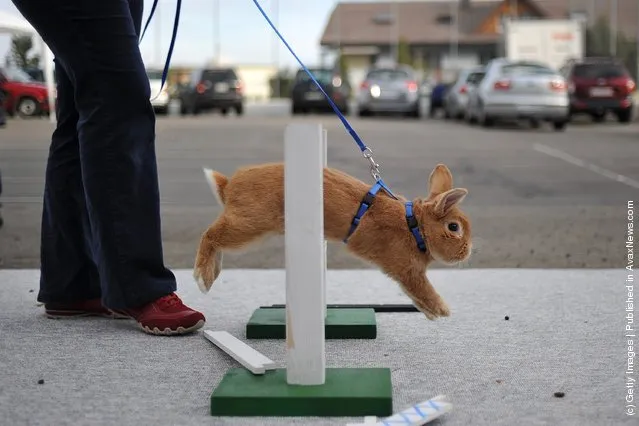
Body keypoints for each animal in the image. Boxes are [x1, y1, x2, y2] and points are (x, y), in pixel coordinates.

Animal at [192, 163, 472, 320]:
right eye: (454, 227)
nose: (468, 252)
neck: (416, 226)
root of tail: (228, 186)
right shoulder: (408, 270)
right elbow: (424, 290)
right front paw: (443, 311)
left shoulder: (405, 275)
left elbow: (415, 296)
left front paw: (432, 315)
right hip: (249, 226)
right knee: (210, 235)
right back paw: (203, 278)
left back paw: (212, 274)